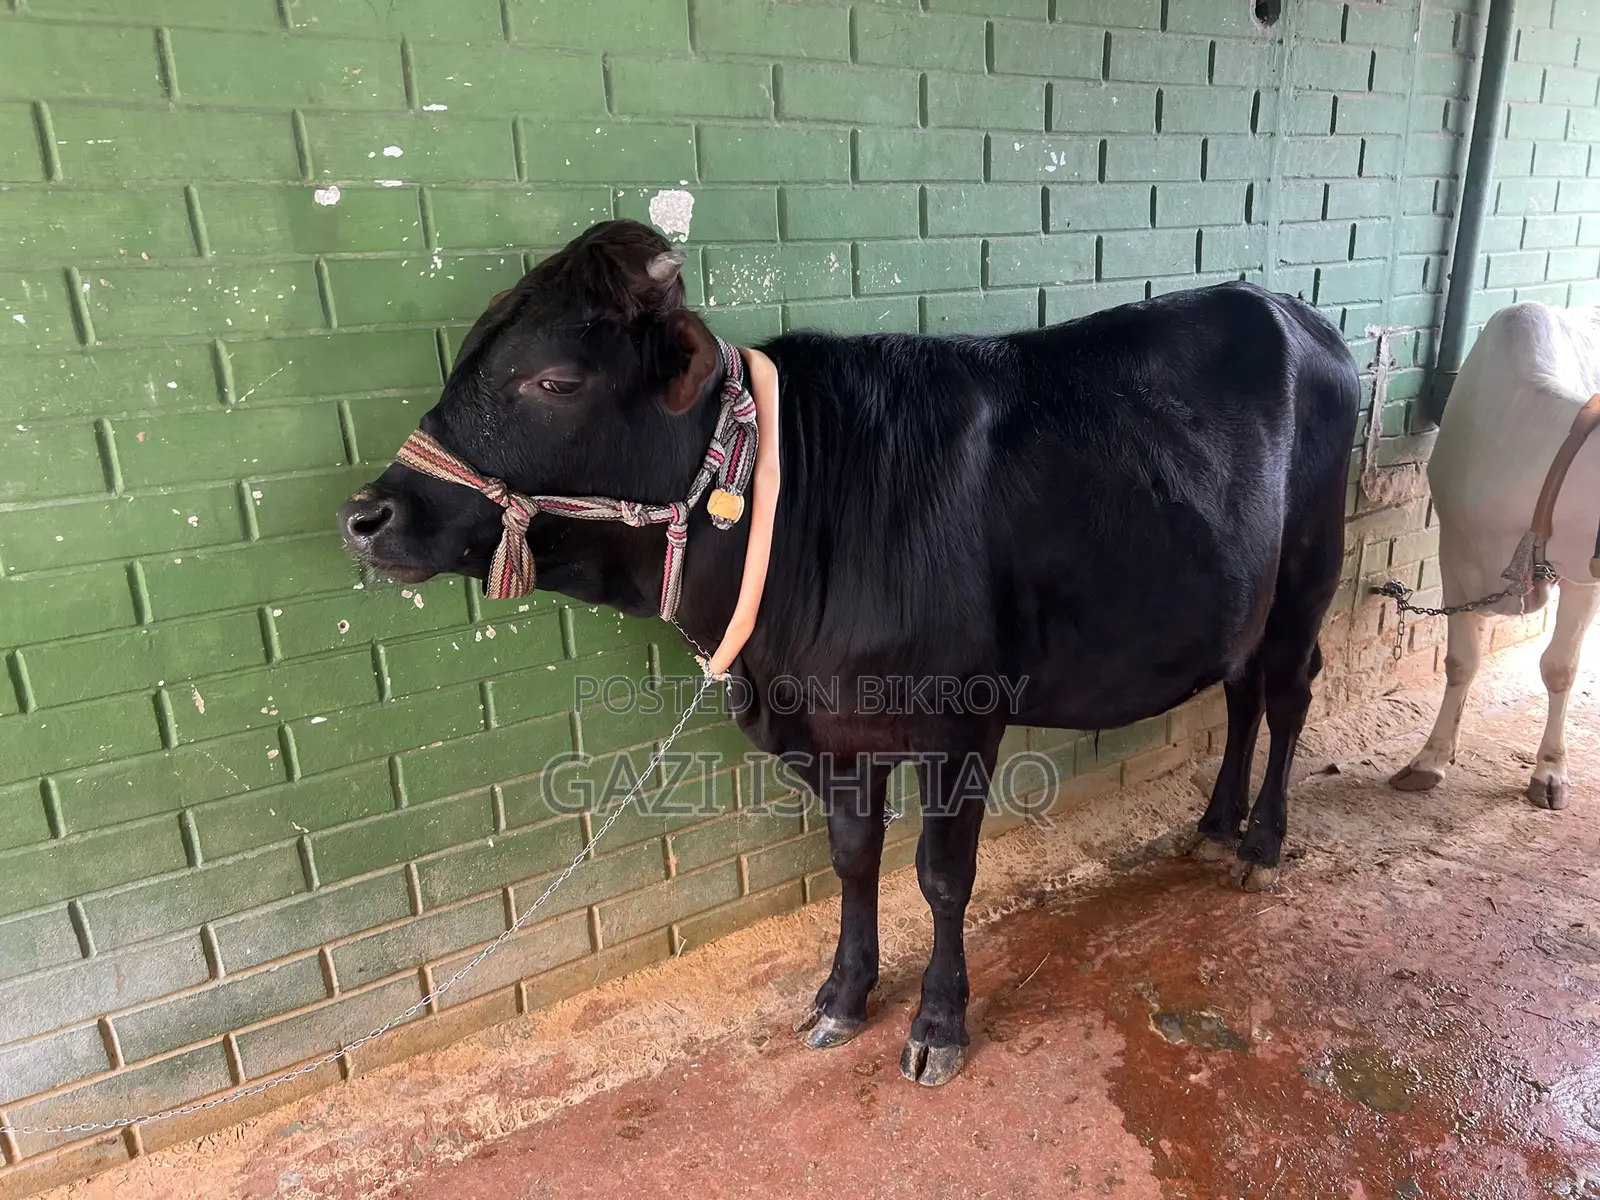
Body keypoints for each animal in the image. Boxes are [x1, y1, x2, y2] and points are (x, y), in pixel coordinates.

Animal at [339, 220, 1360, 1086]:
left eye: (554, 380)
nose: (366, 516)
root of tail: (1293, 311)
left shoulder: (960, 724)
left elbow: (942, 879)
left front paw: (938, 1025)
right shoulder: (833, 732)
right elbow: (853, 858)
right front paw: (842, 995)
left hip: (1308, 573)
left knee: (1288, 694)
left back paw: (1261, 844)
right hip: (1239, 603)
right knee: (1241, 693)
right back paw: (1215, 825)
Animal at [1390, 301, 1600, 809]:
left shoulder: (1583, 575)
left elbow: (1561, 667)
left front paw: (1551, 771)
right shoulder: (1455, 554)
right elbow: (1460, 661)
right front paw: (1430, 759)